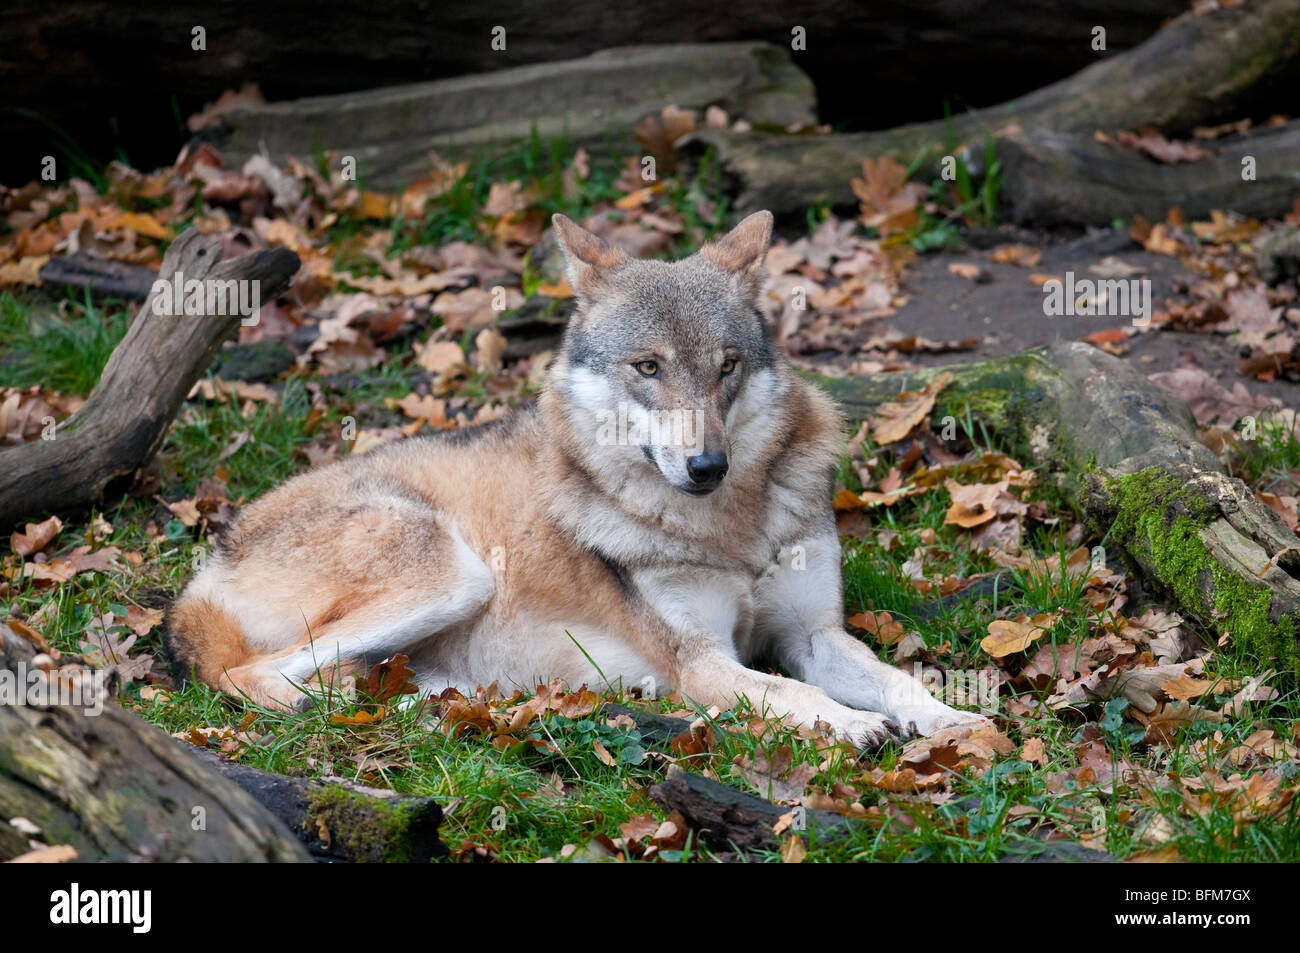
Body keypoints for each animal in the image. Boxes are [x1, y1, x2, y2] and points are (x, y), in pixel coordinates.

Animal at [170, 211, 982, 748]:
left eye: (726, 366)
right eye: (648, 366)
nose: (708, 466)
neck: (728, 529)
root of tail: (208, 563)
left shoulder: (814, 634)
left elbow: (898, 679)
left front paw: (955, 721)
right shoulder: (703, 663)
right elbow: (791, 691)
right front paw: (851, 723)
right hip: (455, 574)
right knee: (255, 680)